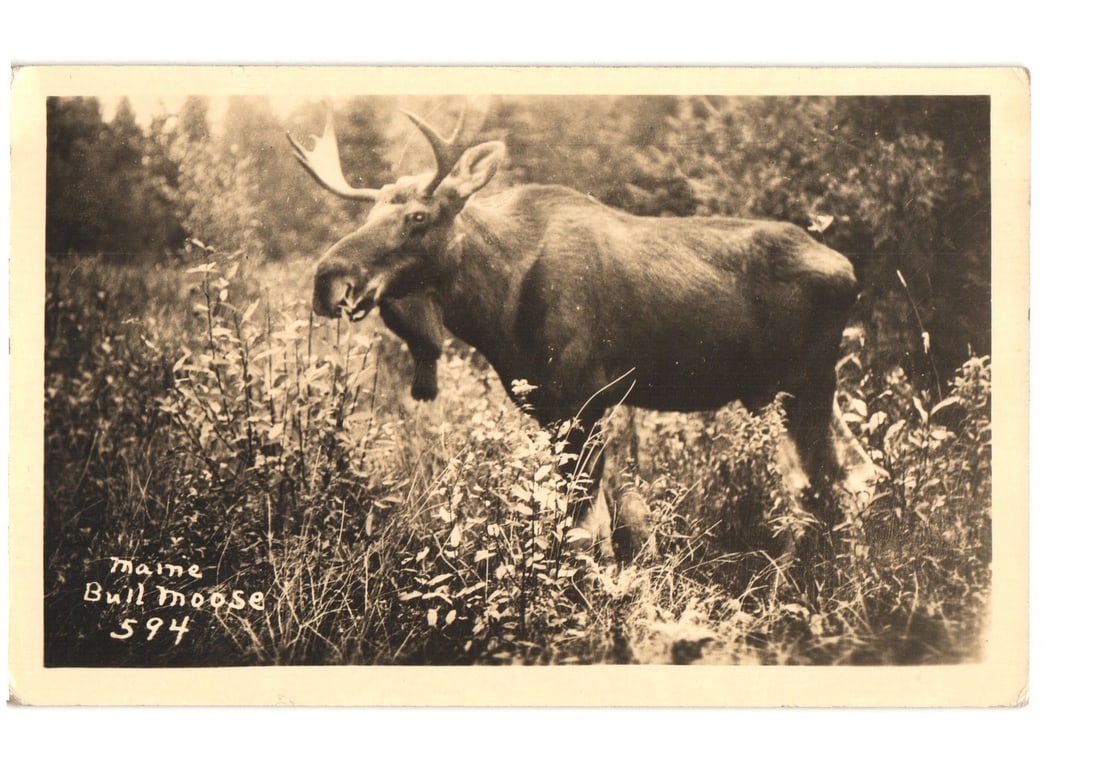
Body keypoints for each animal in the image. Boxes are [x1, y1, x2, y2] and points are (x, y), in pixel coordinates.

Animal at [287, 104, 885, 560]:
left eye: (417, 217)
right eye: (369, 215)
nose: (328, 279)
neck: (496, 305)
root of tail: (850, 272)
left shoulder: (586, 398)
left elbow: (586, 530)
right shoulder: (546, 405)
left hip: (801, 383)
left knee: (820, 484)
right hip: (785, 392)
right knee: (855, 474)